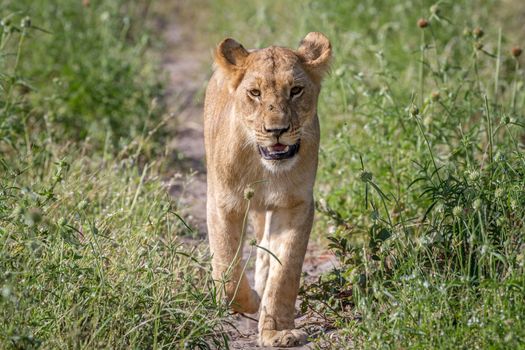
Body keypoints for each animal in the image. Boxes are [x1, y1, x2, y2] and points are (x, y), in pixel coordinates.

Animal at [203, 32, 330, 348]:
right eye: (255, 93)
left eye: (296, 90)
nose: (277, 130)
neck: (266, 168)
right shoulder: (222, 203)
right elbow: (227, 269)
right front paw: (249, 301)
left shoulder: (296, 205)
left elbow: (284, 273)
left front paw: (278, 332)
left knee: (265, 247)